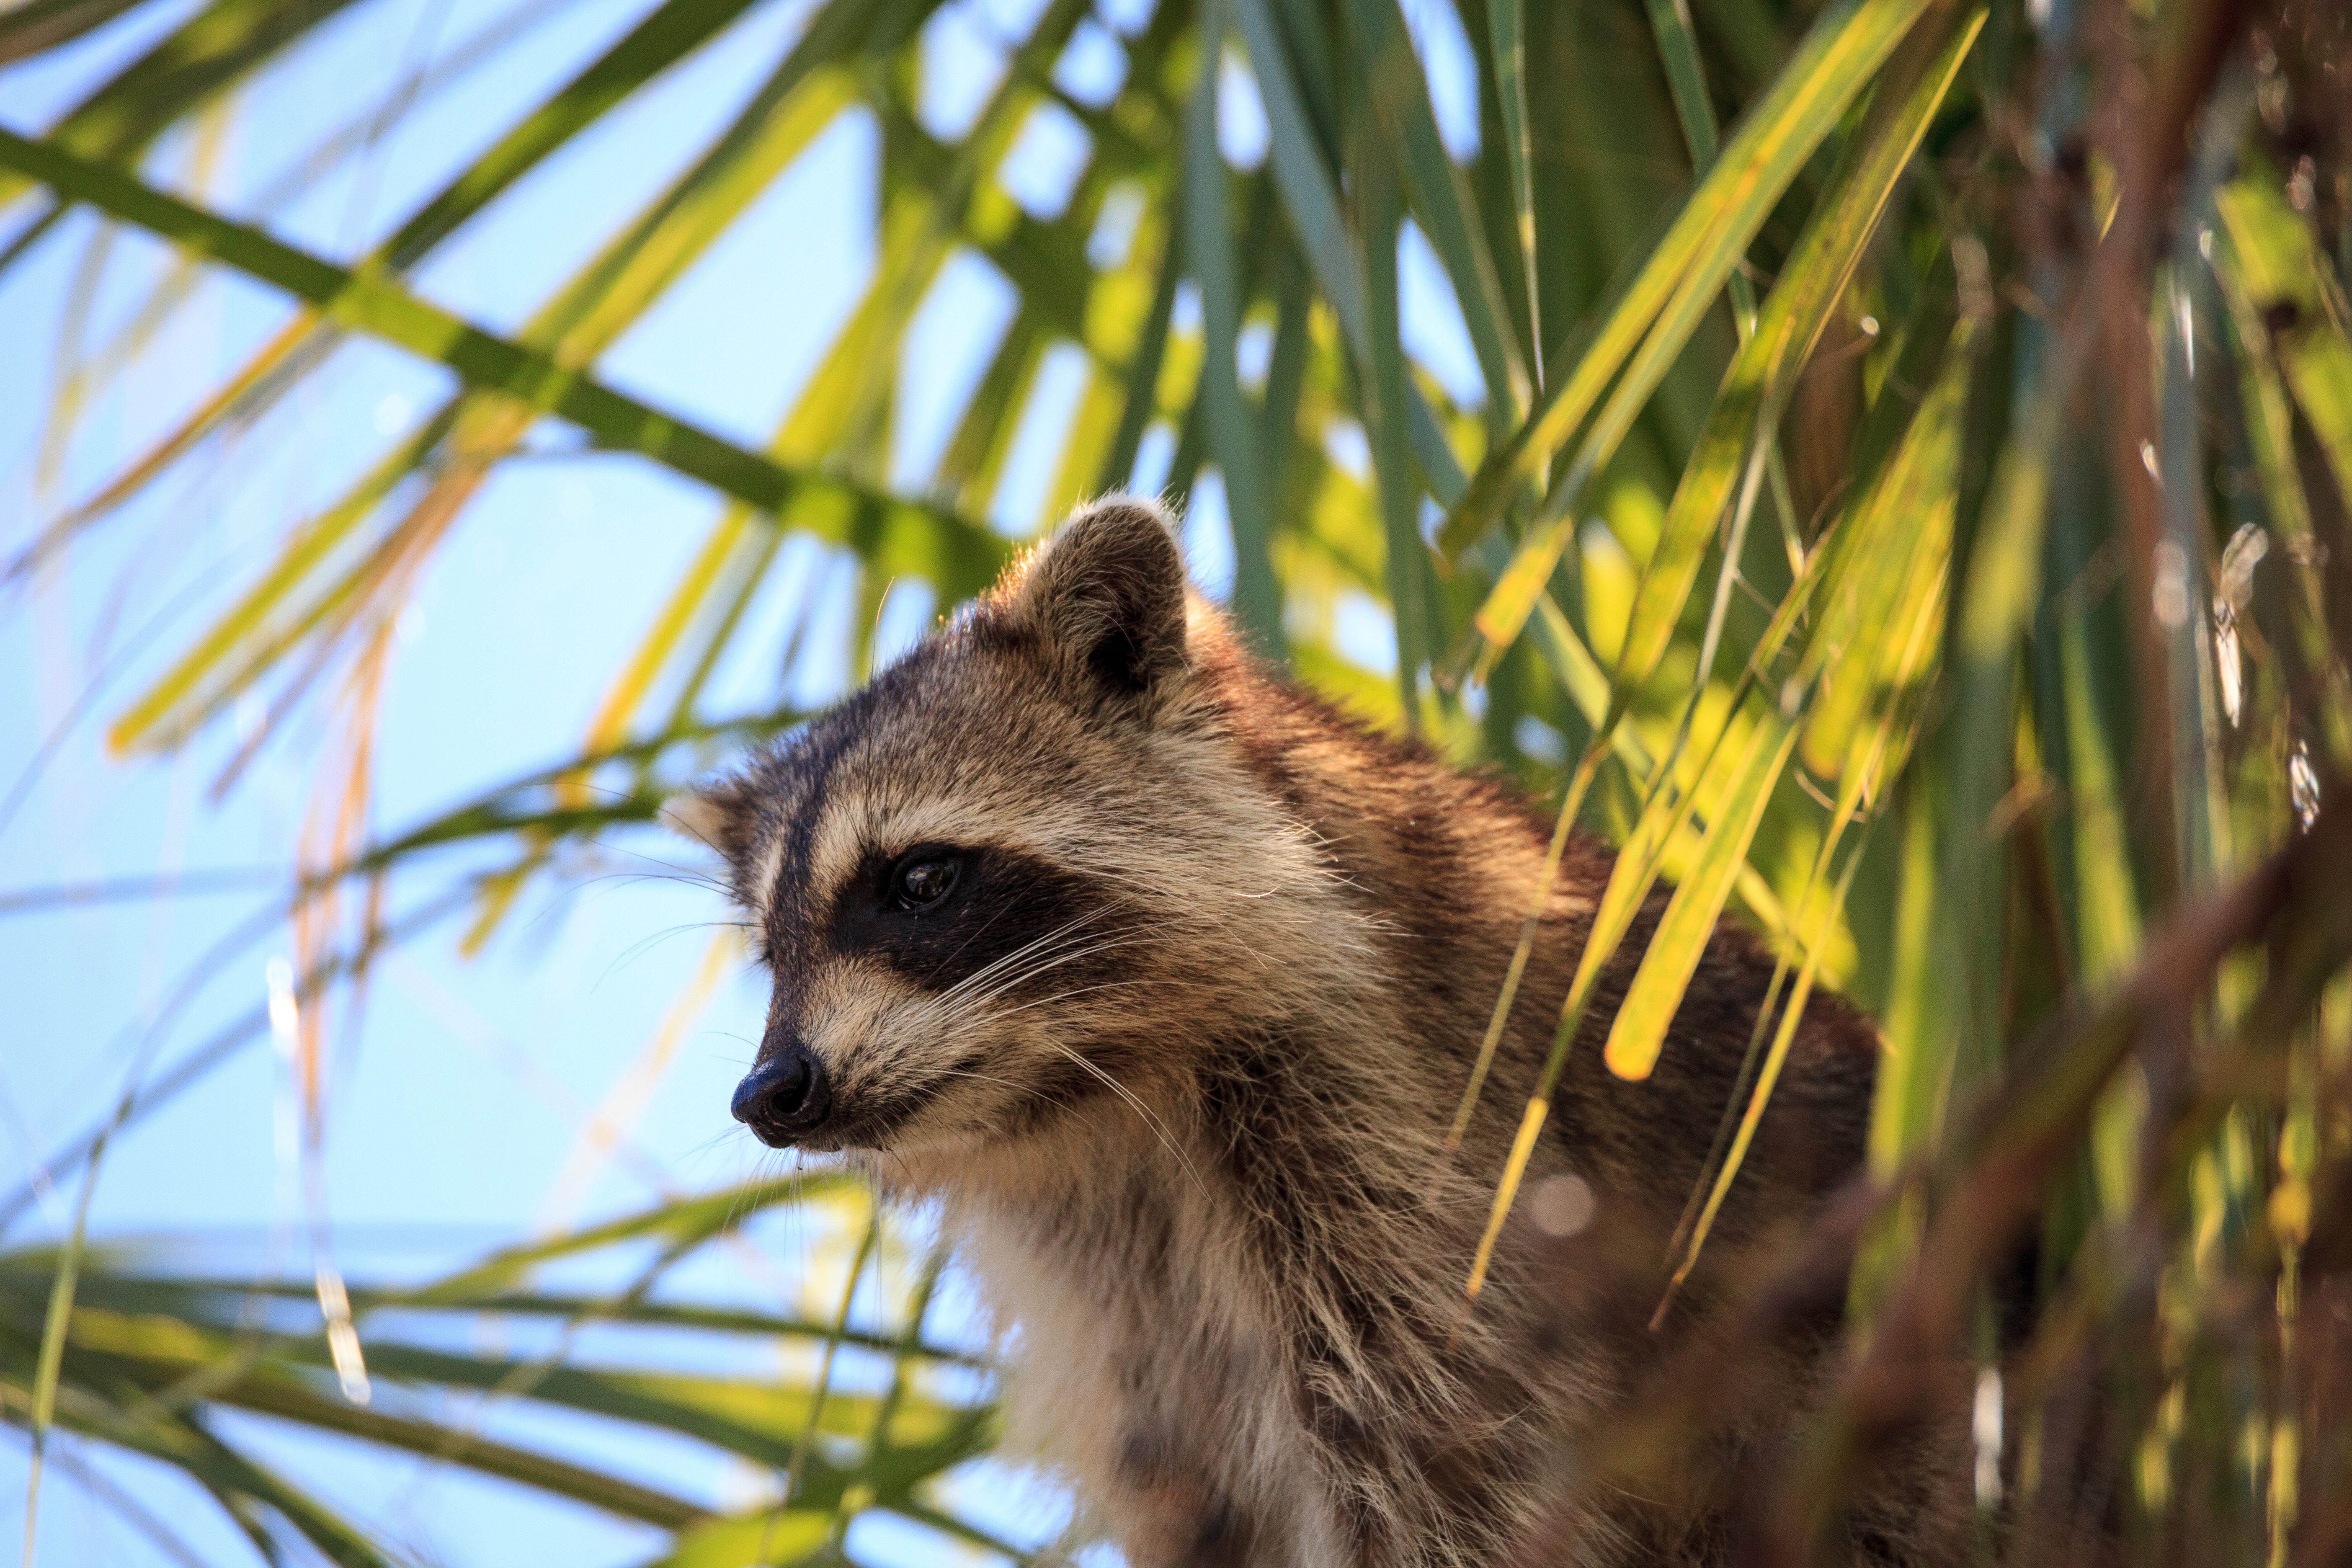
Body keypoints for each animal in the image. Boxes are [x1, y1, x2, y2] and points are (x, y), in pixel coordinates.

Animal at [668, 503, 1966, 1568]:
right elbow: (1198, 1496)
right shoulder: (1118, 1293)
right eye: (773, 950)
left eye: (920, 881)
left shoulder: (1411, 1135)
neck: (1102, 1100)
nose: (770, 1091)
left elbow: (1446, 1472)